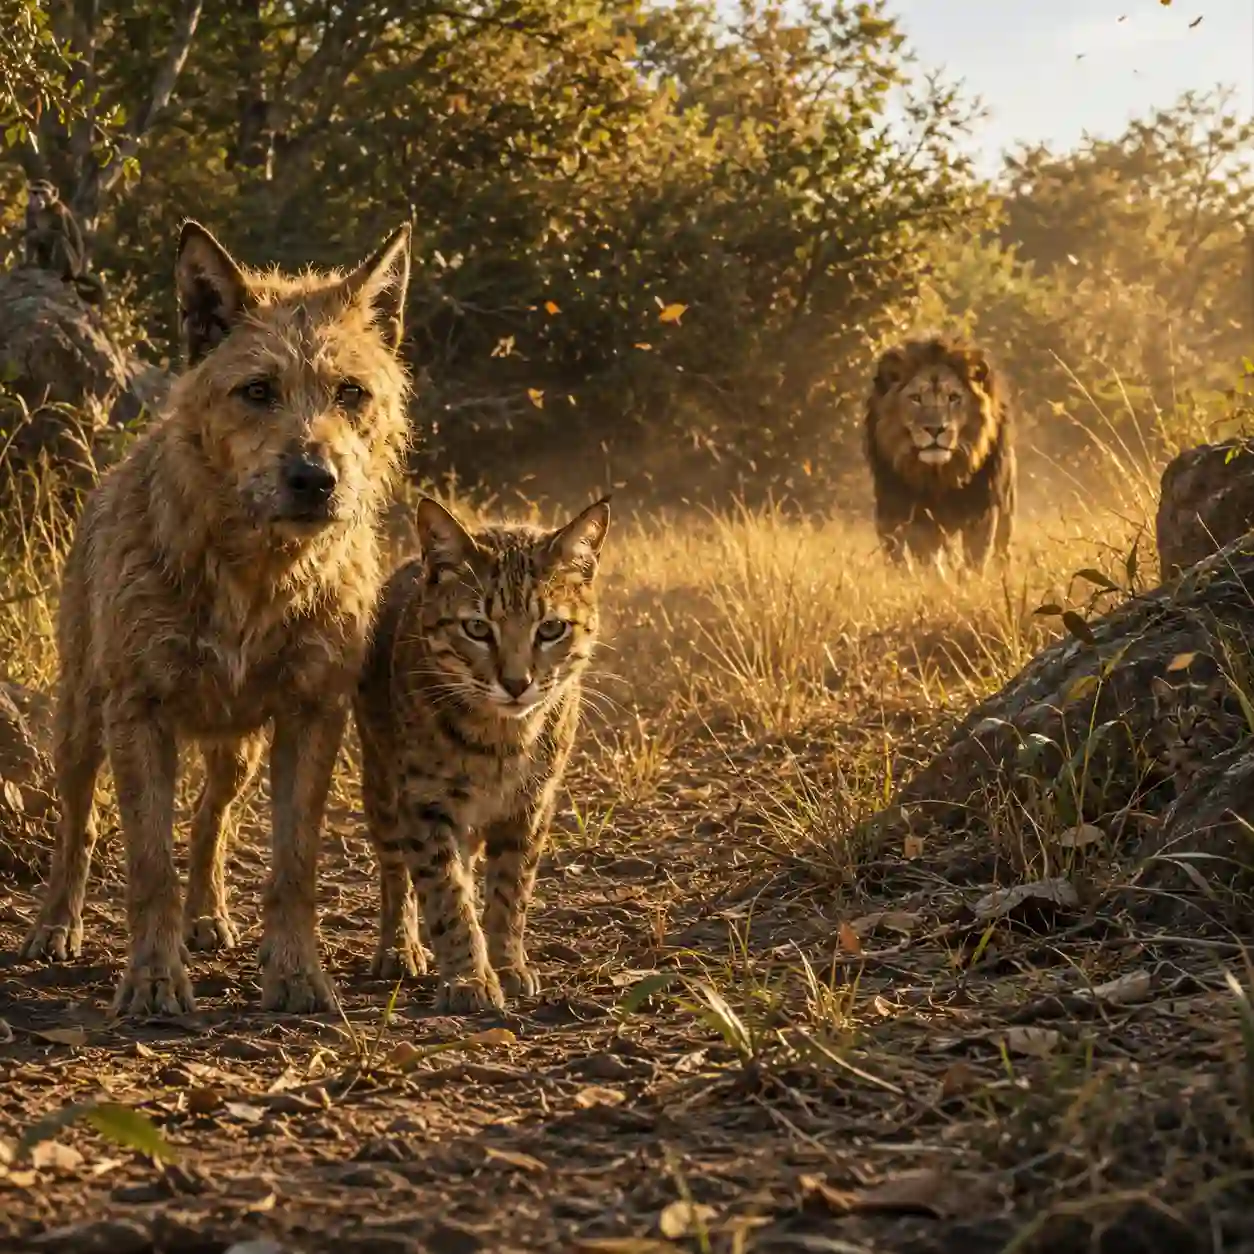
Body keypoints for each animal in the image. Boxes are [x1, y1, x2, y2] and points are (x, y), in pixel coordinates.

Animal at [863, 335, 1015, 571]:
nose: (935, 429)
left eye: (953, 397)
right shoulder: (915, 518)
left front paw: (970, 580)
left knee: (1002, 550)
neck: (939, 475)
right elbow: (927, 561)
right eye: (915, 398)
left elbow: (975, 558)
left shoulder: (982, 510)